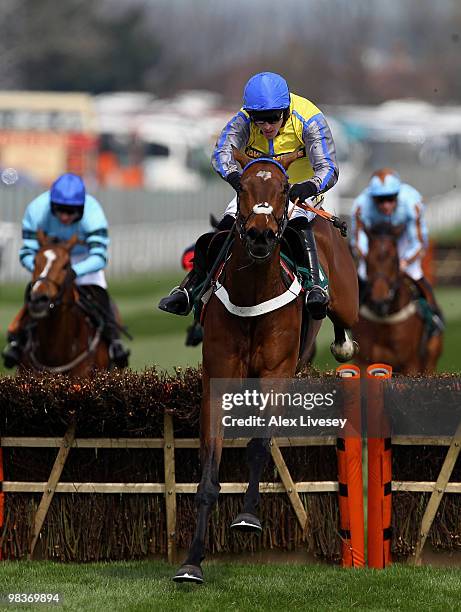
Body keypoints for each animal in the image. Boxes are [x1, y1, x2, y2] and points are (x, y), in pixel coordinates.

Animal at [174, 148, 358, 584]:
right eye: (242, 186)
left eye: (286, 188)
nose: (259, 234)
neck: (252, 292)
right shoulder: (218, 381)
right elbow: (208, 474)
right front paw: (192, 562)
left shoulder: (275, 374)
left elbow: (258, 445)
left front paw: (247, 517)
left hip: (346, 300)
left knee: (343, 320)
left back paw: (339, 336)